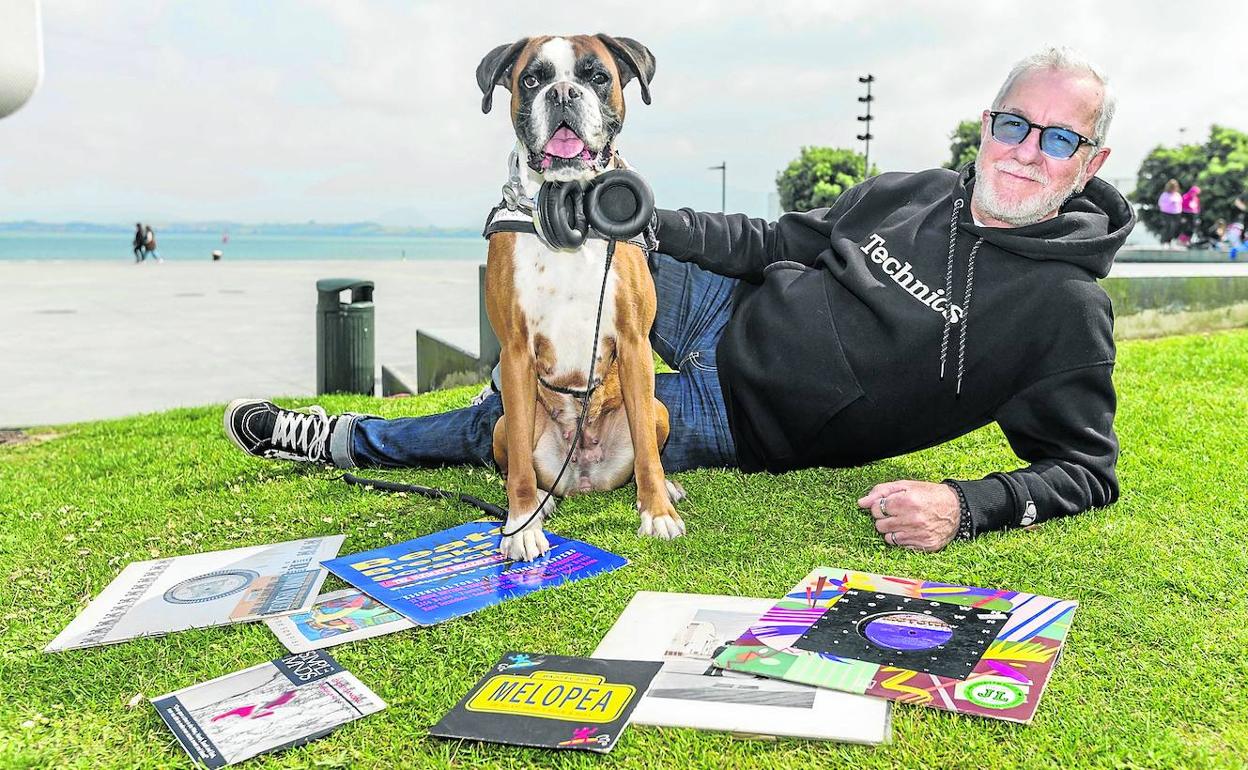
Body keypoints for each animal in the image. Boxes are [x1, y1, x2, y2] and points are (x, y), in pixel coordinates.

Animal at [476, 34, 688, 559]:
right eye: (532, 80)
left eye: (597, 77)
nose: (563, 93)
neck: (571, 212)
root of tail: (583, 476)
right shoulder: (515, 352)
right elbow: (519, 469)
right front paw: (522, 525)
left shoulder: (634, 344)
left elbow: (649, 455)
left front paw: (657, 512)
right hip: (504, 424)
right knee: (518, 461)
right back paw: (541, 501)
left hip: (656, 407)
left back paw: (668, 488)